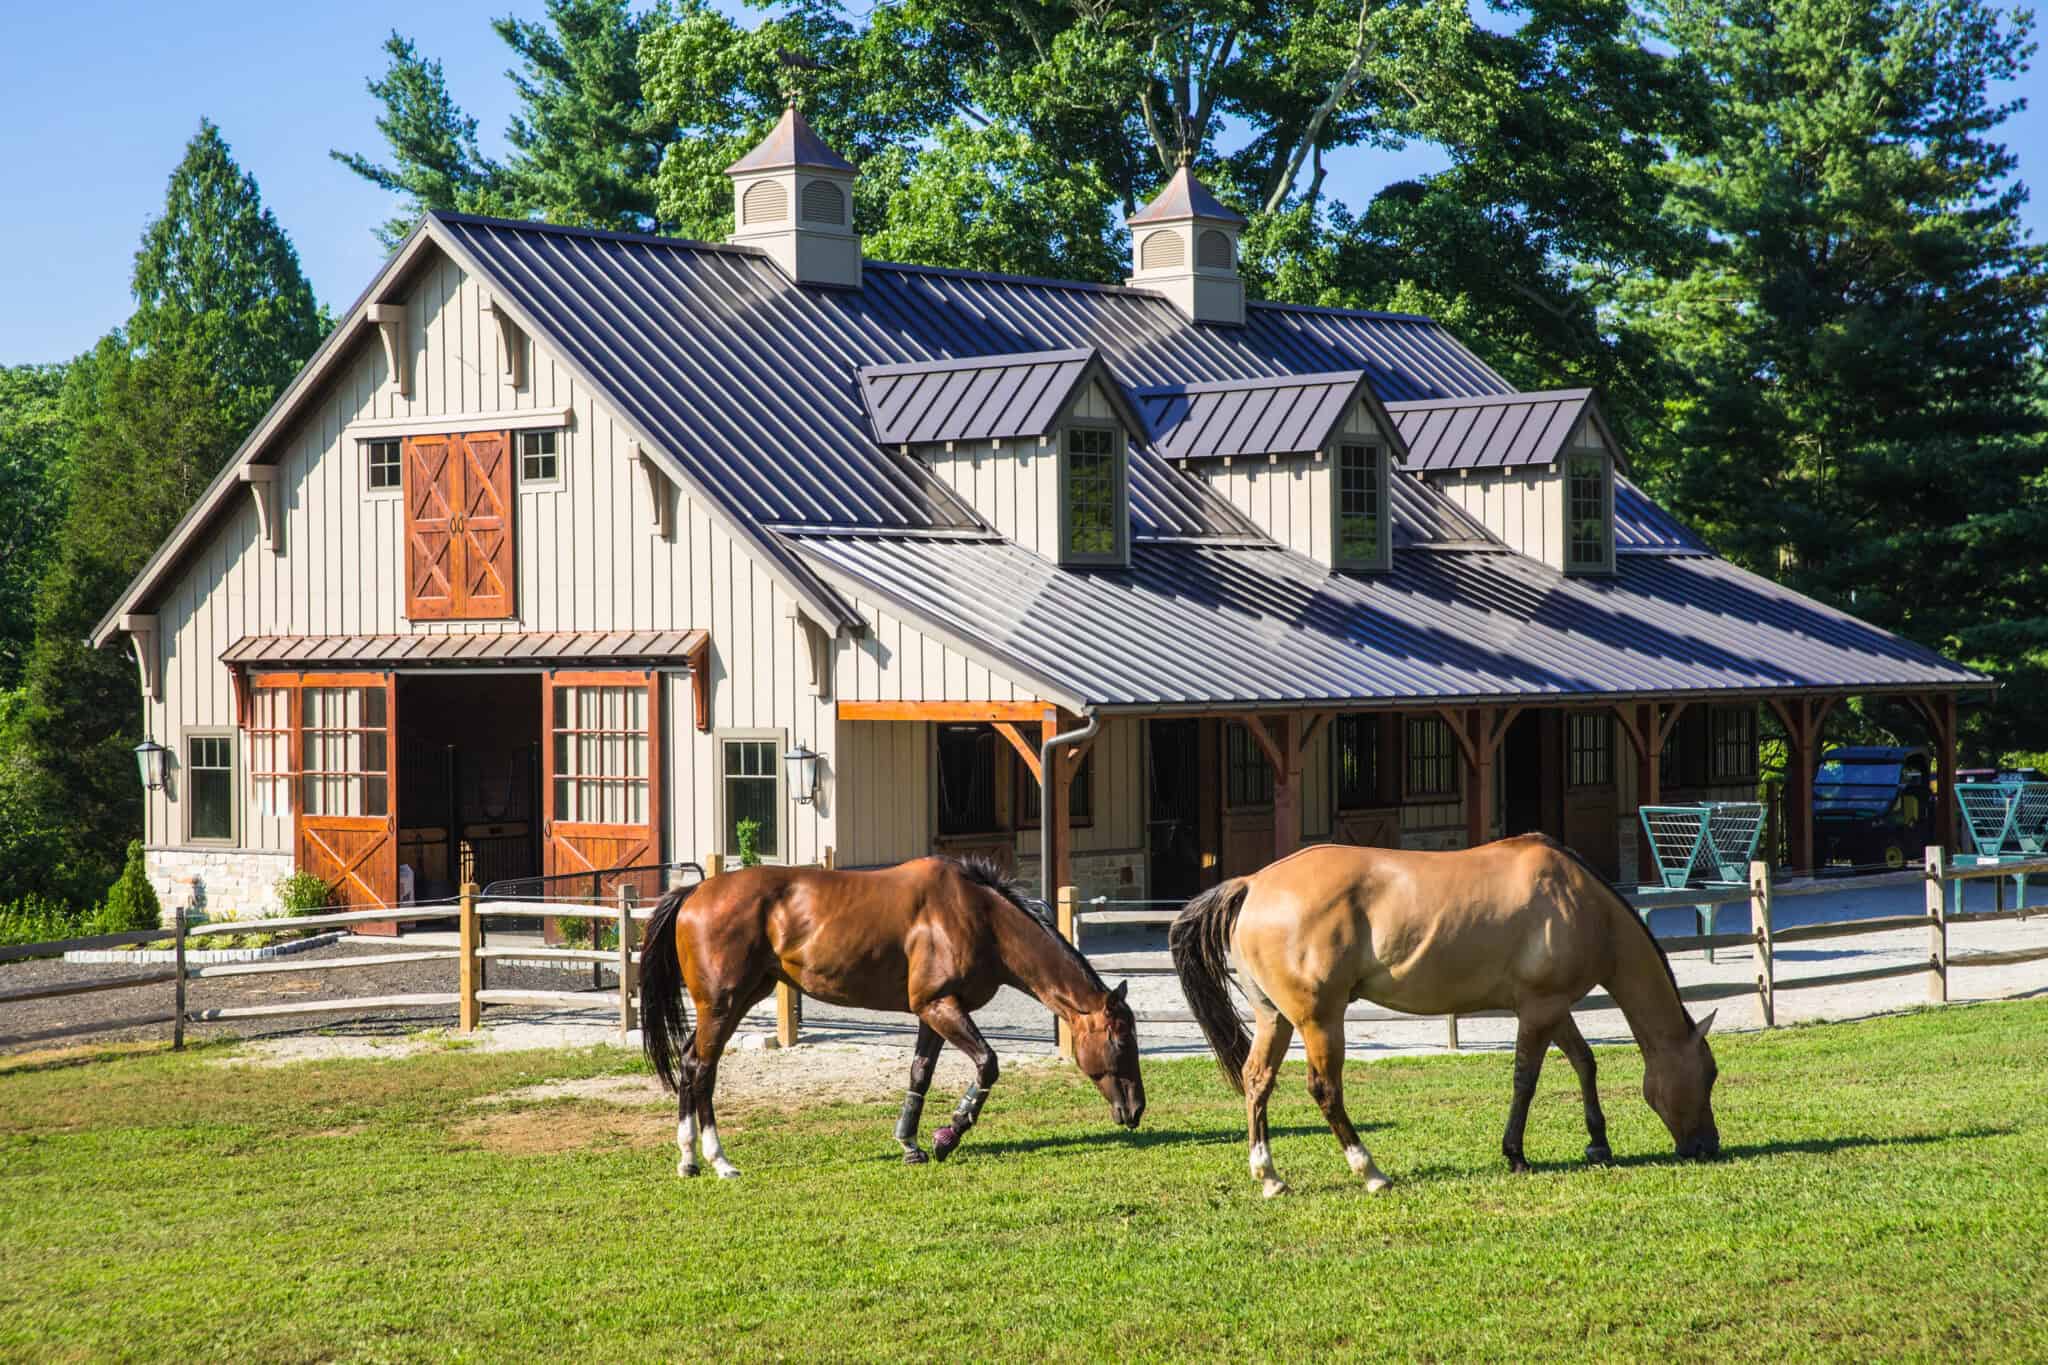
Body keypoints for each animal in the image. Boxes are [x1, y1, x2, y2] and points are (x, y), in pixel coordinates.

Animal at [639, 855, 1143, 1178]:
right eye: (1121, 1041)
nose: (1136, 1109)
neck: (978, 916)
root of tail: (695, 891)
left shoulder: (932, 1012)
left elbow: (919, 1074)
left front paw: (911, 1144)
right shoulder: (941, 1006)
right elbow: (988, 1064)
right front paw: (947, 1136)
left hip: (739, 999)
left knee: (691, 1063)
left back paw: (688, 1159)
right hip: (722, 1005)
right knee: (702, 1069)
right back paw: (717, 1160)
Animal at [1169, 835, 1719, 1198]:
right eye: (1710, 1074)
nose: (1708, 1147)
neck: (1579, 901)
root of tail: (1254, 884)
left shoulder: (1554, 1007)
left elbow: (1585, 1063)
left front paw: (1598, 1143)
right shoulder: (1538, 1010)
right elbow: (1526, 1080)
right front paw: (1516, 1154)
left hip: (1275, 1020)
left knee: (1257, 1081)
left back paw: (1270, 1177)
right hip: (1320, 1022)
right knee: (1325, 1091)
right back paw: (1371, 1172)